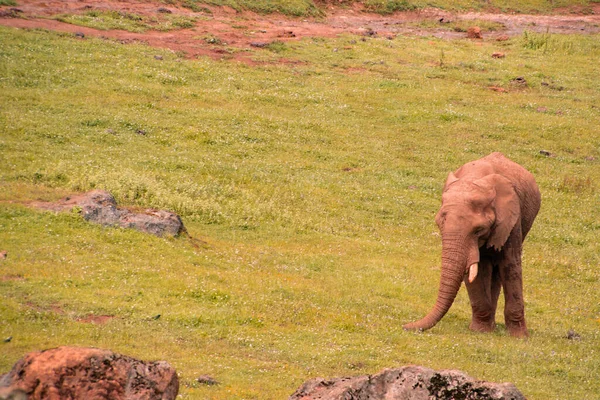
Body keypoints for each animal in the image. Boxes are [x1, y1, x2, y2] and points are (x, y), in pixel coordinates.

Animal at [404, 153, 544, 338]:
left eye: (478, 229)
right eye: (439, 224)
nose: (405, 326)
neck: (473, 178)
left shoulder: (512, 219)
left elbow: (510, 265)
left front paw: (519, 337)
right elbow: (473, 269)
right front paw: (481, 331)